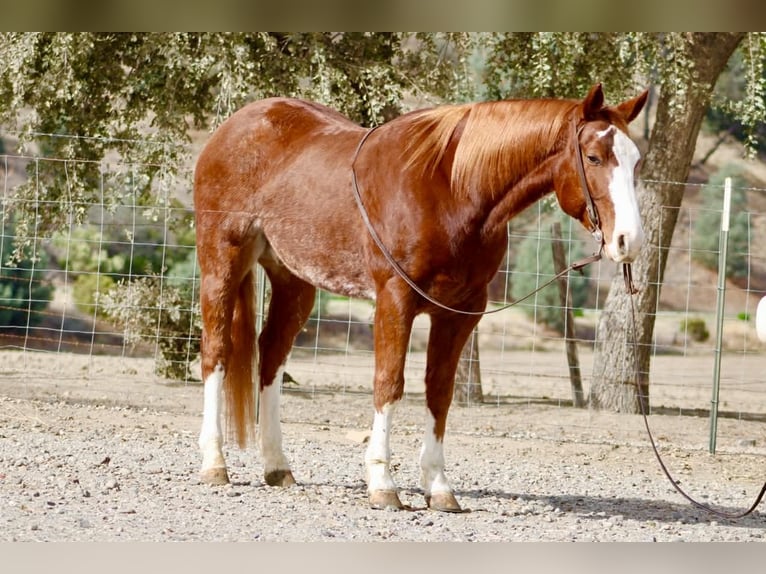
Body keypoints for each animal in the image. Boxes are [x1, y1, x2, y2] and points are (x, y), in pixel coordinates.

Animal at [193, 83, 648, 512]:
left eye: (636, 161)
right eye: (593, 157)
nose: (629, 241)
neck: (451, 190)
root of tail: (234, 127)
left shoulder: (461, 312)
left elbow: (439, 392)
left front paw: (439, 487)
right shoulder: (395, 300)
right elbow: (389, 383)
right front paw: (382, 484)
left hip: (294, 281)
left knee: (271, 355)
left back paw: (277, 466)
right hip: (221, 263)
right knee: (217, 352)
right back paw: (214, 463)